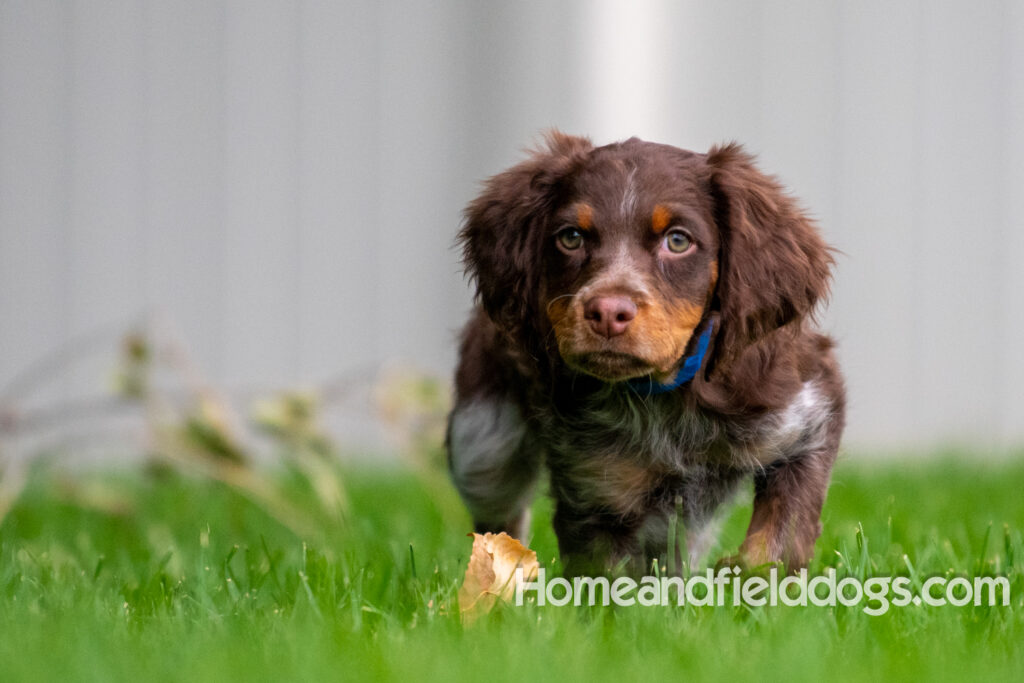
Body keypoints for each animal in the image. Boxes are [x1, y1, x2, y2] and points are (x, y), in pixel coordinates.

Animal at [448, 131, 847, 573]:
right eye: (571, 237)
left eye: (678, 240)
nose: (608, 313)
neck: (665, 393)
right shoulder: (596, 490)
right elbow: (608, 580)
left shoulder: (807, 412)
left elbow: (782, 530)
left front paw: (751, 574)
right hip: (482, 444)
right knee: (500, 515)